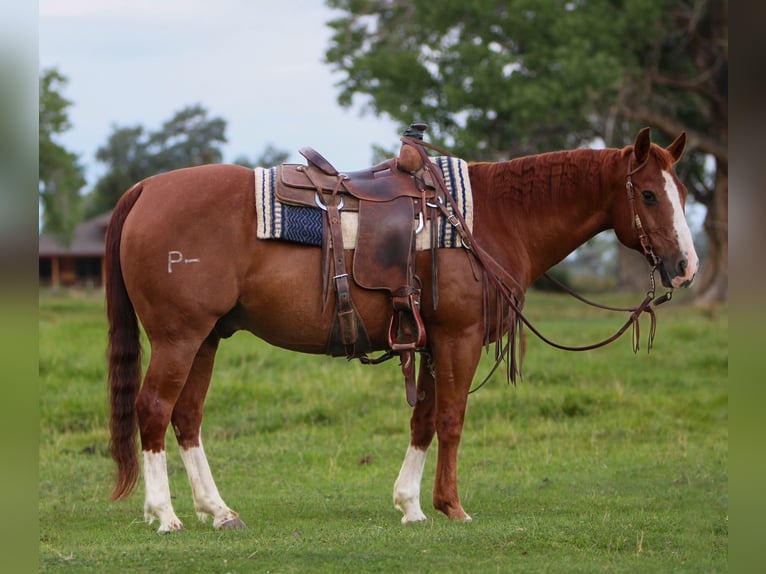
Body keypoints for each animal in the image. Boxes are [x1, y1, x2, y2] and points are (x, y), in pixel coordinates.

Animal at [108, 128, 704, 532]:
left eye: (680, 193)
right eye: (649, 195)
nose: (685, 267)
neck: (491, 218)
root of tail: (146, 189)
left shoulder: (432, 342)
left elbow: (423, 420)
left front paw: (411, 505)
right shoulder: (459, 338)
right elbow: (451, 419)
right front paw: (452, 506)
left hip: (206, 338)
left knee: (187, 417)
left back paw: (218, 510)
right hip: (179, 338)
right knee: (154, 410)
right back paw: (164, 514)